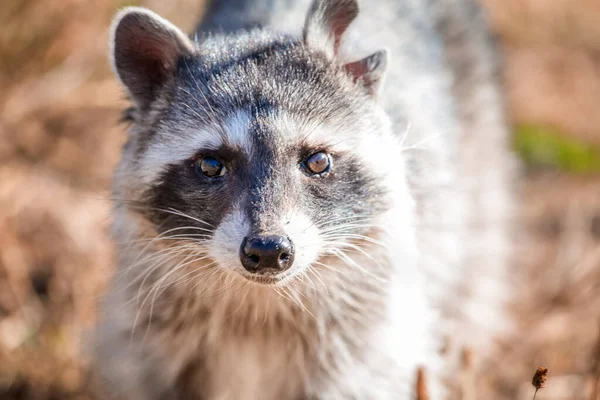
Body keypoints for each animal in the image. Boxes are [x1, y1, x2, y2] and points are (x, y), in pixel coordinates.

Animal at [94, 0, 516, 398]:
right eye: (211, 165)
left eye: (317, 161)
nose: (267, 250)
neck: (260, 301)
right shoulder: (150, 335)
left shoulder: (369, 338)